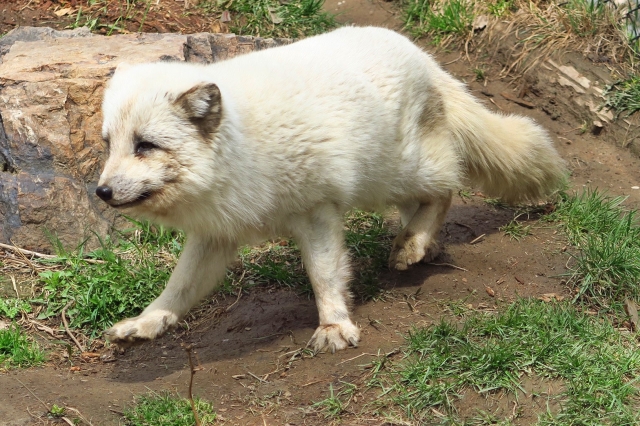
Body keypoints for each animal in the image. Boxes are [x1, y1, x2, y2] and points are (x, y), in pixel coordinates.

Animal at [96, 25, 564, 352]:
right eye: (108, 144)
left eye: (145, 145)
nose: (101, 192)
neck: (242, 146)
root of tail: (420, 53)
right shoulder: (216, 234)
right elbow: (179, 287)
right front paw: (146, 322)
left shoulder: (315, 210)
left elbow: (324, 274)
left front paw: (335, 325)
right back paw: (421, 244)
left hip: (393, 173)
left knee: (448, 185)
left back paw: (411, 243)